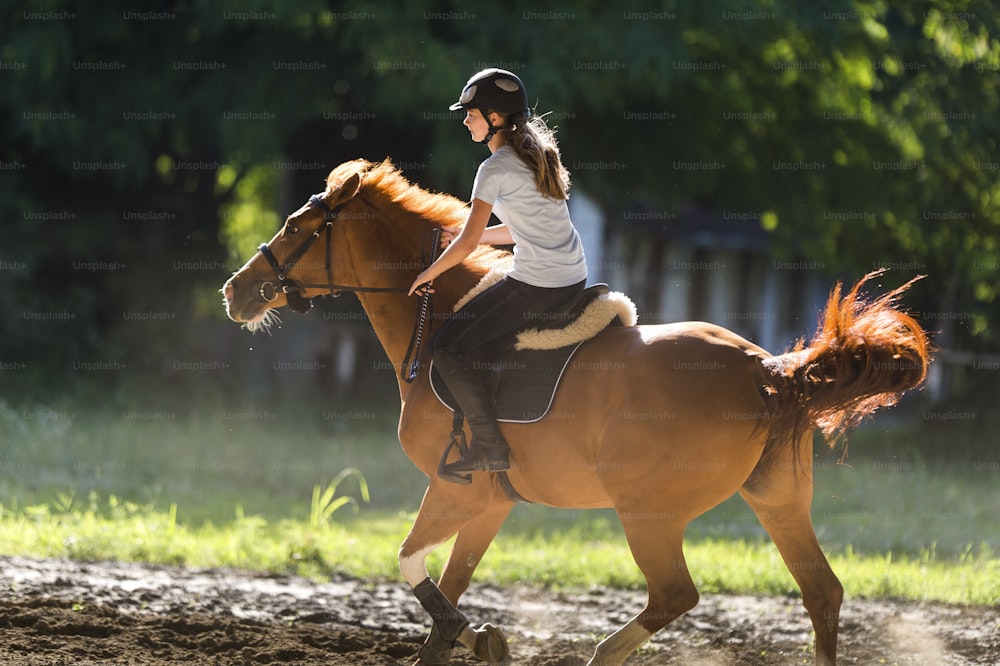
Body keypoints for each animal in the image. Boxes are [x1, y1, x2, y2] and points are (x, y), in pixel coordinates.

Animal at [223, 158, 924, 660]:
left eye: (296, 228)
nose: (235, 291)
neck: (436, 314)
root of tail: (764, 369)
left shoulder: (456, 490)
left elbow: (409, 562)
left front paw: (479, 637)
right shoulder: (491, 501)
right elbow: (446, 589)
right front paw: (472, 638)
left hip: (648, 513)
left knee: (674, 595)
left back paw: (600, 654)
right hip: (777, 499)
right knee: (822, 594)